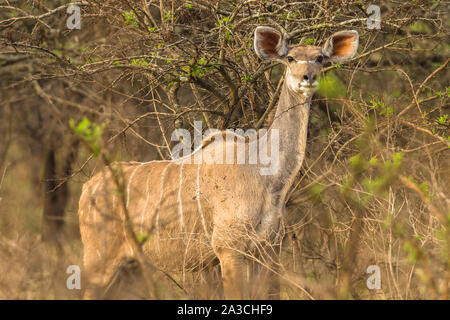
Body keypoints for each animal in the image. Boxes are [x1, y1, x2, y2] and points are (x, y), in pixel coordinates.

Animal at [78, 26, 358, 298]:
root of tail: (87, 188)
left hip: (130, 268)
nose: (308, 78)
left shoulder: (267, 249)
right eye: (290, 58)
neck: (264, 176)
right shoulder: (229, 249)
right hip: (98, 262)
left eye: (319, 58)